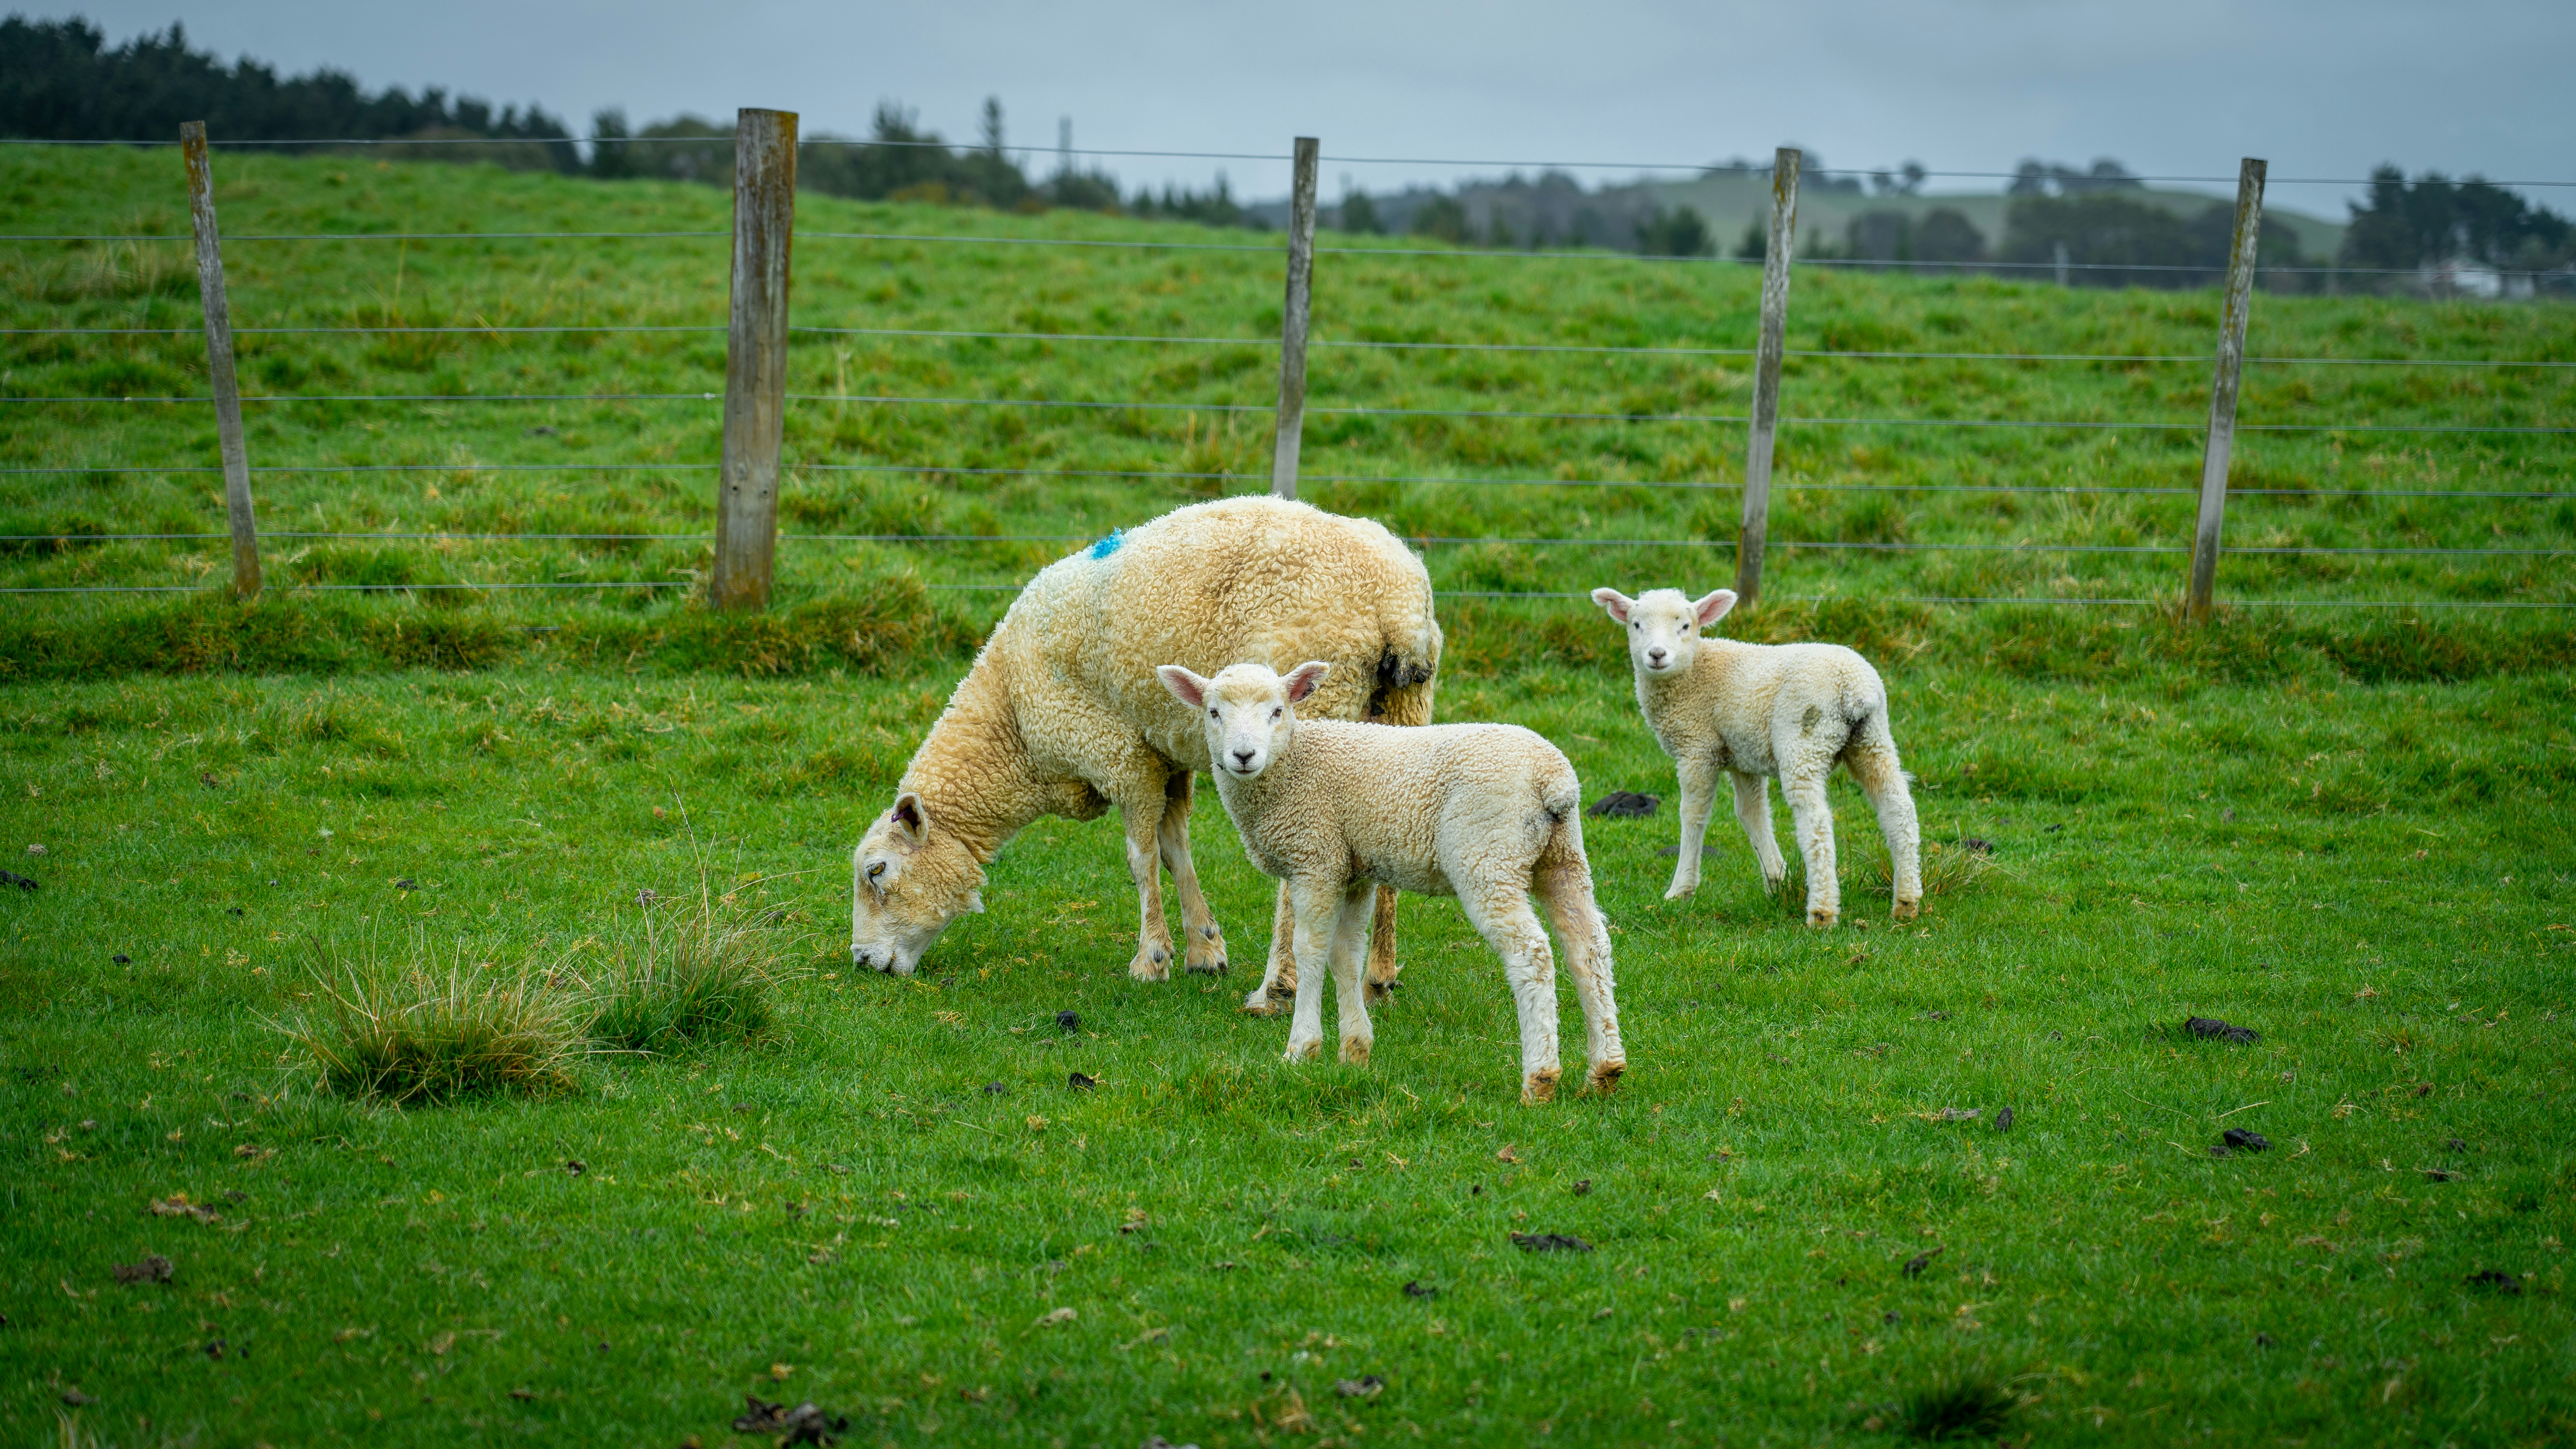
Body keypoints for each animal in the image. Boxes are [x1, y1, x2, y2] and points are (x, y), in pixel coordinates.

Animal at [849, 496, 1440, 995]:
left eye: (876, 871)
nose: (860, 960)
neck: (1012, 720)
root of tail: (1397, 604)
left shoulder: (1117, 752)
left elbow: (1140, 858)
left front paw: (1151, 958)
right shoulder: (1167, 753)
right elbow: (1176, 849)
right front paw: (1205, 949)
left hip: (1313, 707)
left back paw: (1280, 982)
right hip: (1404, 710)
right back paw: (1380, 973)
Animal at [1156, 660, 1625, 1105]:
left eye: (1277, 711)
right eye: (1214, 713)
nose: (1244, 756)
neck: (1294, 762)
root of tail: (1554, 781)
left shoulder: (1316, 859)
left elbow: (1309, 951)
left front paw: (1301, 1048)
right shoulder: (1353, 870)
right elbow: (1345, 952)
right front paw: (1354, 1049)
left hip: (1487, 854)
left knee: (1532, 954)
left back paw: (1540, 1078)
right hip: (1561, 857)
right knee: (1588, 946)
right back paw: (1605, 1070)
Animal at [1590, 586, 1921, 927]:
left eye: (1685, 626)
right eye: (1637, 625)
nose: (1657, 655)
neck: (1695, 672)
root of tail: (1856, 688)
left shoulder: (1698, 748)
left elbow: (1693, 815)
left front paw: (1681, 889)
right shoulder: (1742, 755)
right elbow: (1752, 814)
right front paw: (1777, 879)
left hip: (1804, 741)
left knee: (1816, 822)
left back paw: (1822, 912)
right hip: (1873, 740)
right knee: (1898, 808)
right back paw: (1906, 901)